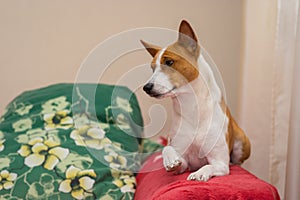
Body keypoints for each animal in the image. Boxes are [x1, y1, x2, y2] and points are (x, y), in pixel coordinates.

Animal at [142, 19, 250, 181]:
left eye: (169, 62)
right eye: (152, 69)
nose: (146, 87)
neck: (191, 108)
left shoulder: (220, 164)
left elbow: (209, 166)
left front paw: (199, 174)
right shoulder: (184, 162)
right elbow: (167, 148)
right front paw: (170, 160)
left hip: (242, 141)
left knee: (236, 161)